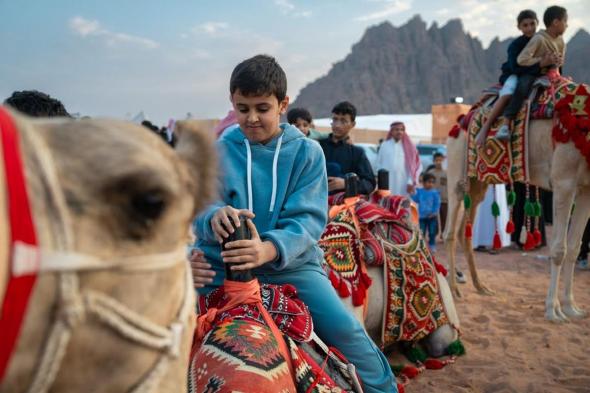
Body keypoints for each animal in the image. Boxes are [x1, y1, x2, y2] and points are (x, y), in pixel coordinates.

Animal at [446, 118, 590, 320]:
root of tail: (458, 126)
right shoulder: (564, 181)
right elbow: (559, 250)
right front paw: (553, 310)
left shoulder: (586, 188)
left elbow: (574, 248)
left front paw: (572, 307)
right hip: (458, 174)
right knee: (450, 231)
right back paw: (453, 289)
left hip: (478, 183)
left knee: (464, 232)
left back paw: (481, 286)